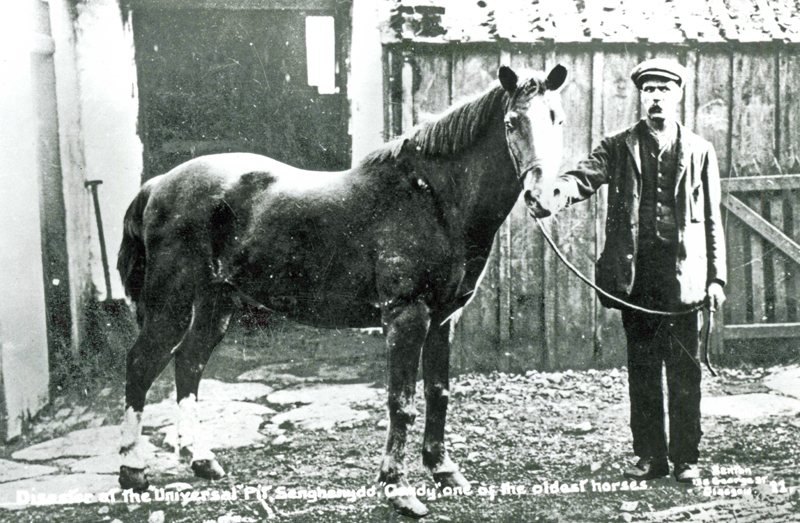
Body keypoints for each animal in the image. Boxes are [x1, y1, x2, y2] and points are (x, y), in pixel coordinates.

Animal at [116, 64, 567, 518]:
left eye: (558, 120)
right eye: (512, 123)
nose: (543, 196)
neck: (434, 199)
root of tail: (158, 184)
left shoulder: (442, 320)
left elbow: (437, 393)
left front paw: (444, 471)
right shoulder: (406, 316)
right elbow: (401, 402)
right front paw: (397, 489)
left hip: (216, 302)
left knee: (188, 363)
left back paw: (200, 459)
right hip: (170, 303)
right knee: (141, 365)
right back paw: (132, 470)